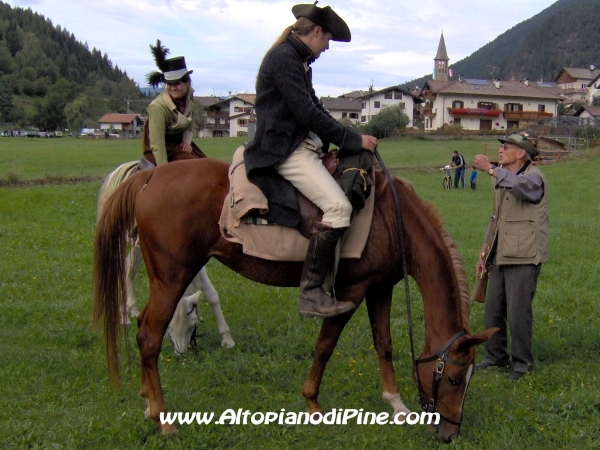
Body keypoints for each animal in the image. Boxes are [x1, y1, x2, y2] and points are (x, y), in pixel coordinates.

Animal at [98, 160, 234, 354]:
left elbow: (211, 294)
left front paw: (226, 338)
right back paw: (123, 316)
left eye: (191, 315)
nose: (181, 351)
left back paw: (132, 308)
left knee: (129, 271)